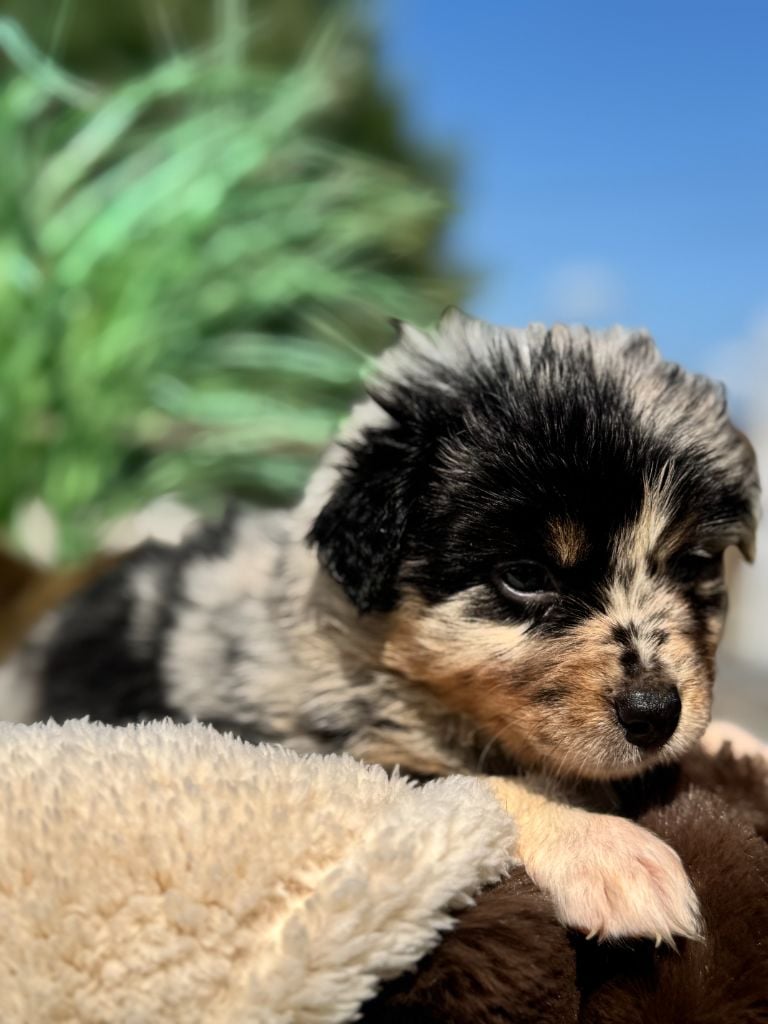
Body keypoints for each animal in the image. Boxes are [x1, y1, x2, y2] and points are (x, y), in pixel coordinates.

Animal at [0, 310, 761, 945]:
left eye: (691, 563)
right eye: (524, 575)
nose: (655, 714)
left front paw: (736, 738)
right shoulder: (315, 755)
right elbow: (477, 785)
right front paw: (609, 851)